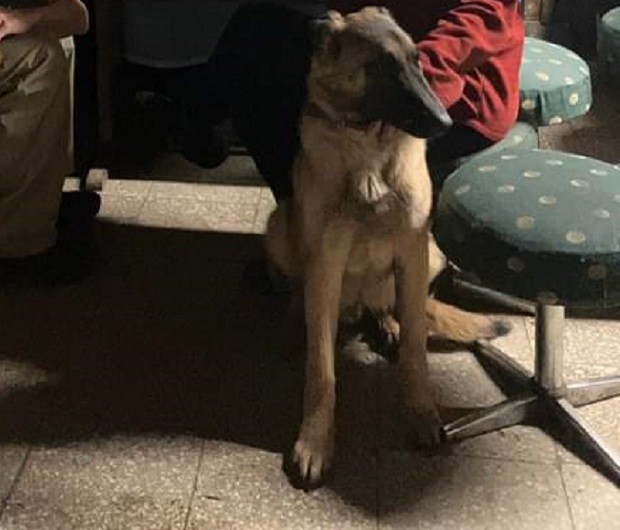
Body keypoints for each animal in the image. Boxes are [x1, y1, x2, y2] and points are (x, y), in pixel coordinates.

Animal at [264, 7, 510, 490]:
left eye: (418, 61)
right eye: (381, 68)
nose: (445, 123)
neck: (368, 149)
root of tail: (358, 303)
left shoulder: (413, 249)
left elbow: (416, 348)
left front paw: (421, 411)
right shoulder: (325, 260)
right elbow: (322, 370)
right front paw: (315, 441)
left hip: (432, 252)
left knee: (393, 307)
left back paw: (387, 322)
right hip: (281, 226)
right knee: (303, 296)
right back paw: (296, 321)